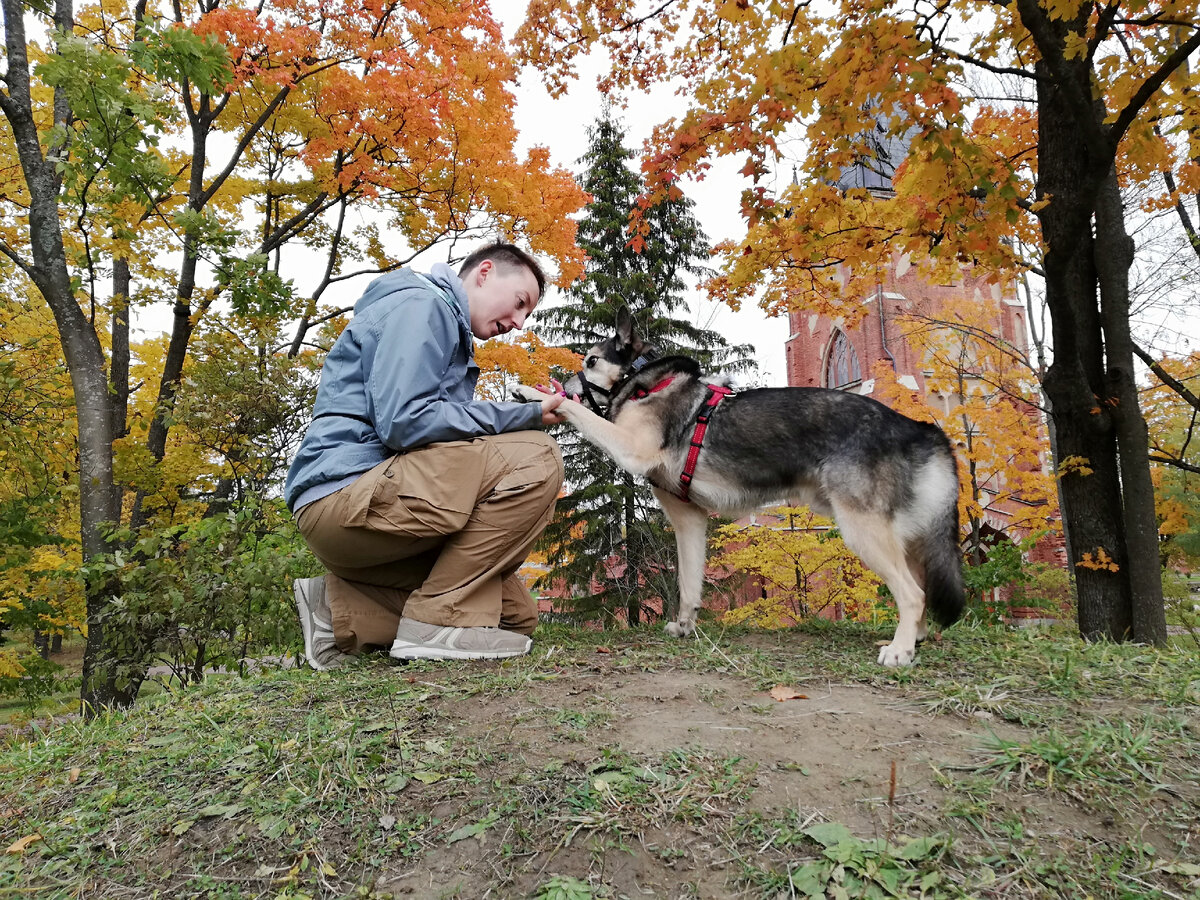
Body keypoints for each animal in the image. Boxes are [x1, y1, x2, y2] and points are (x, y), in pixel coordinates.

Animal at [516, 309, 964, 672]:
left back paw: (900, 650)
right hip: (900, 533)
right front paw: (685, 625)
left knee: (912, 592)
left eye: (592, 361)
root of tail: (914, 427)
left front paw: (533, 393)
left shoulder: (631, 448)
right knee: (921, 584)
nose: (568, 382)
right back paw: (915, 637)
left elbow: (576, 412)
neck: (644, 383)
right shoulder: (689, 520)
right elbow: (689, 582)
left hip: (863, 530)